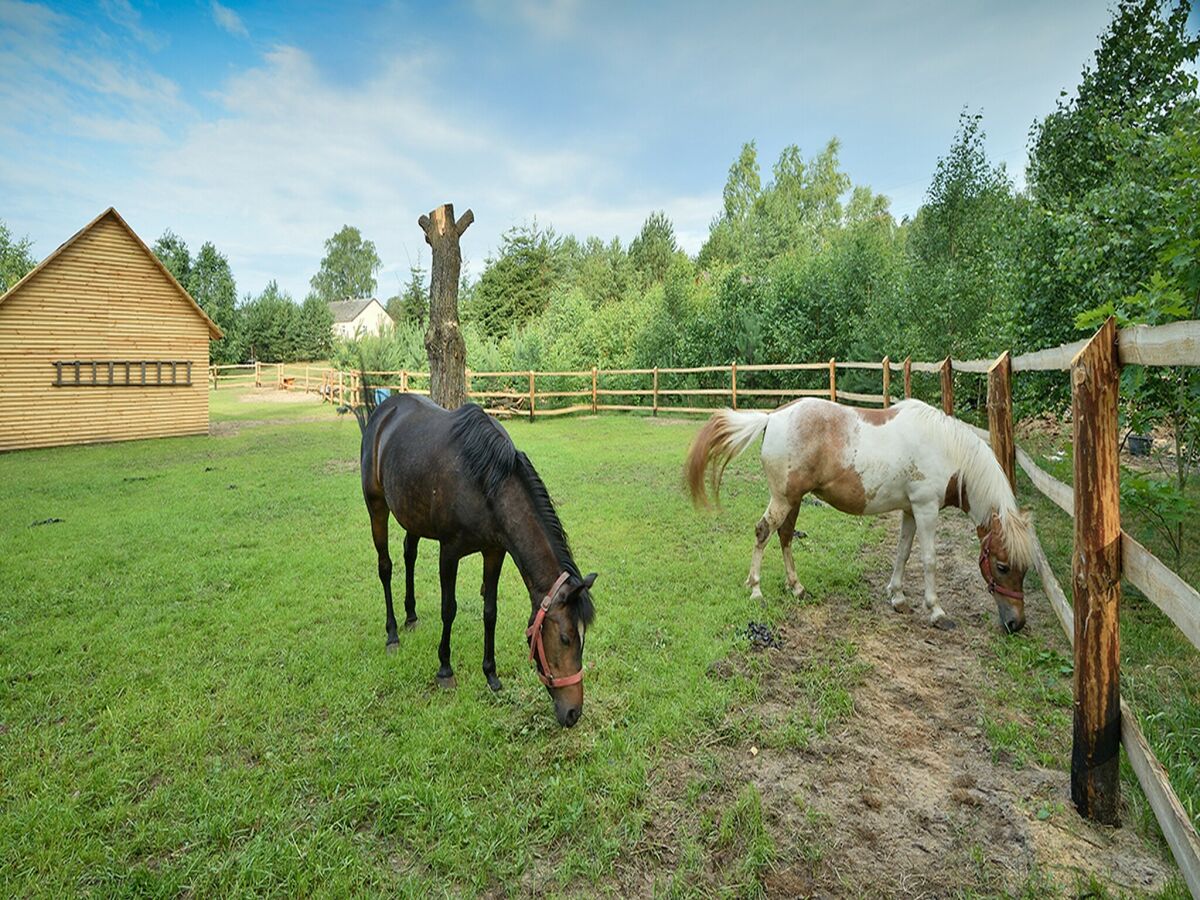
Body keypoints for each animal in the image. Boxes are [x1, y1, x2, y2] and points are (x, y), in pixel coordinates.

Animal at [355, 391, 600, 729]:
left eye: (583, 639)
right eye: (565, 639)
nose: (573, 713)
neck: (485, 482)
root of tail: (384, 411)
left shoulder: (494, 552)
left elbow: (490, 612)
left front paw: (491, 674)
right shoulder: (449, 552)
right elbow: (449, 609)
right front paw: (445, 670)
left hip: (412, 515)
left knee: (409, 554)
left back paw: (412, 616)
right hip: (376, 507)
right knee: (386, 567)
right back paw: (392, 634)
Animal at [686, 400, 1032, 633]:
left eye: (1025, 569)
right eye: (1002, 566)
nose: (1016, 623)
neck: (946, 449)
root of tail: (773, 417)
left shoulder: (910, 509)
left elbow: (903, 553)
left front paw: (897, 597)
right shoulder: (925, 508)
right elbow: (929, 559)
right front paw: (936, 611)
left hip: (793, 500)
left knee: (784, 537)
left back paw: (797, 588)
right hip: (783, 499)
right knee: (763, 532)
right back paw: (756, 590)